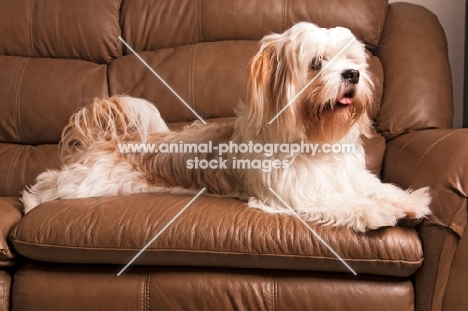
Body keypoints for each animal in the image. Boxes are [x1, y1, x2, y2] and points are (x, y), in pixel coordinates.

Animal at [22, 23, 432, 233]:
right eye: (317, 63)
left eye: (353, 60)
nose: (353, 74)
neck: (315, 141)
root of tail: (113, 138)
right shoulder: (295, 197)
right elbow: (345, 202)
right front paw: (376, 212)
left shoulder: (351, 177)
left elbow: (378, 187)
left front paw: (408, 201)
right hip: (89, 182)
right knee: (50, 182)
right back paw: (28, 202)